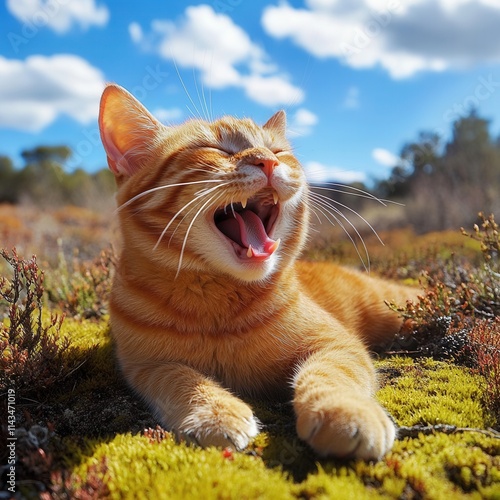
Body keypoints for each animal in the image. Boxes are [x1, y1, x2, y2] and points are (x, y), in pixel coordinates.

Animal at [99, 83, 416, 460]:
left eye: (278, 150)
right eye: (214, 148)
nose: (268, 161)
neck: (218, 301)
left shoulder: (338, 345)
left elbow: (331, 374)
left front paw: (345, 410)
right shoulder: (146, 365)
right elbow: (182, 379)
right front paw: (215, 412)